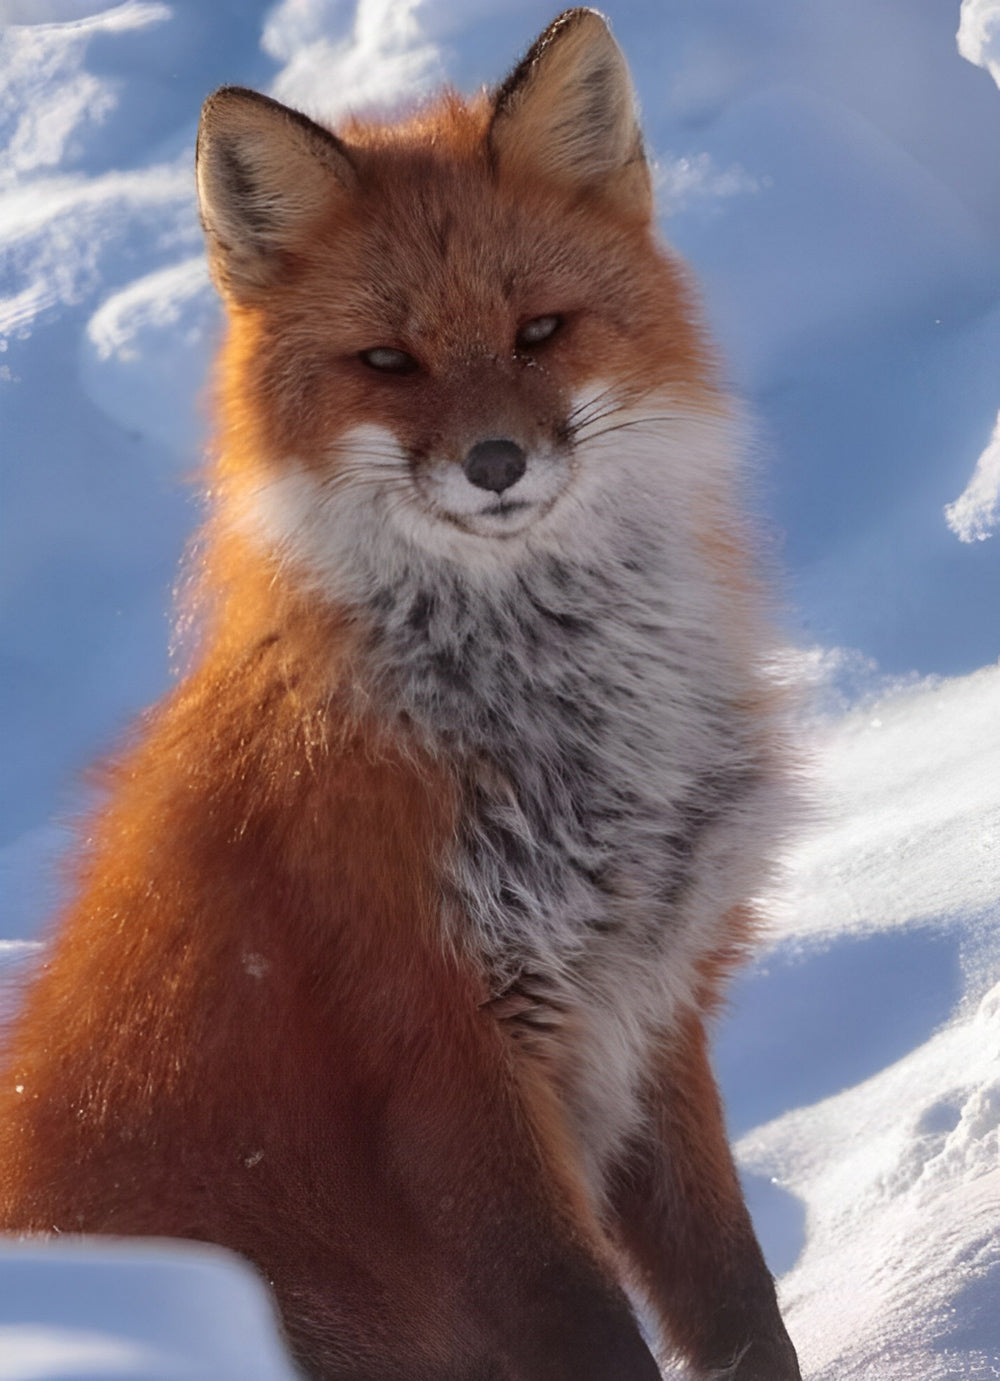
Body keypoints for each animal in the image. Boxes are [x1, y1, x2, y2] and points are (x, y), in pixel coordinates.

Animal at [0, 9, 802, 1380]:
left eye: (540, 331)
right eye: (388, 361)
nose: (496, 462)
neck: (565, 737)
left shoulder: (651, 1011)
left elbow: (738, 1302)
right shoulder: (440, 1054)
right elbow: (590, 1327)